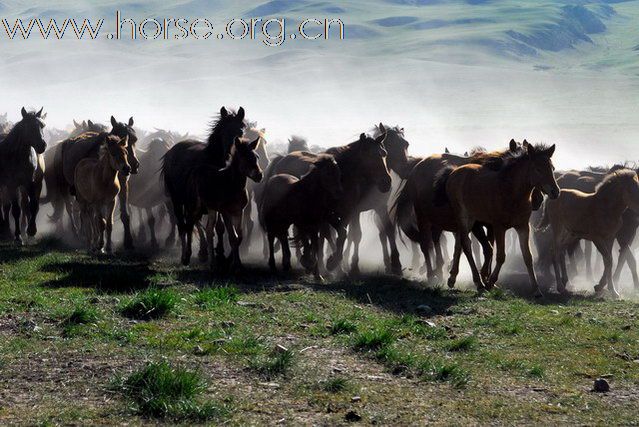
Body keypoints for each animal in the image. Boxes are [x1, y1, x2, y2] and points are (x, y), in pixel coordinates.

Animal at [0, 107, 47, 244]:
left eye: (42, 125)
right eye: (28, 126)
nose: (42, 145)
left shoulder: (29, 183)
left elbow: (33, 206)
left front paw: (31, 231)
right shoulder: (11, 185)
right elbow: (16, 210)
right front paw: (18, 236)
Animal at [162, 107, 248, 268]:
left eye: (241, 132)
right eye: (223, 131)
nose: (231, 153)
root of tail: (171, 152)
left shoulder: (219, 203)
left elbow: (219, 228)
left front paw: (221, 254)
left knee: (193, 223)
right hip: (178, 200)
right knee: (183, 225)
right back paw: (187, 255)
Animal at [189, 137, 264, 270]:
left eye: (257, 157)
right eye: (244, 157)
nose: (259, 176)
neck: (232, 184)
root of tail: (197, 170)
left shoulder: (239, 211)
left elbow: (239, 236)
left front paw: (230, 261)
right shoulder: (225, 212)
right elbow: (232, 236)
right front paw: (236, 263)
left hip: (211, 208)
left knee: (209, 229)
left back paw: (213, 262)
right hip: (198, 206)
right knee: (194, 222)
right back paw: (194, 257)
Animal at [440, 142, 560, 296]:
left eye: (552, 168)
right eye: (537, 169)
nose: (555, 192)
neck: (511, 193)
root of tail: (454, 172)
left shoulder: (523, 227)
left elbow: (528, 257)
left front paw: (536, 290)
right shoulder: (498, 227)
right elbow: (500, 255)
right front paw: (490, 281)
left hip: (471, 220)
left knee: (460, 244)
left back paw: (455, 278)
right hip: (463, 217)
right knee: (466, 245)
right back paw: (478, 283)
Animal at [544, 170, 639, 298]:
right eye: (630, 189)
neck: (606, 208)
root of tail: (551, 198)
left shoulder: (610, 238)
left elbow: (608, 261)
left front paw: (608, 289)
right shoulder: (596, 238)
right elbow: (608, 260)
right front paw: (606, 288)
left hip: (571, 233)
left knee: (561, 251)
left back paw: (566, 282)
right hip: (558, 228)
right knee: (554, 251)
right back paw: (560, 287)